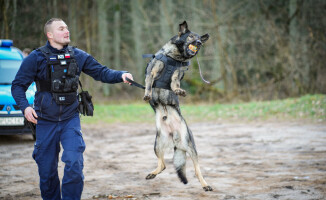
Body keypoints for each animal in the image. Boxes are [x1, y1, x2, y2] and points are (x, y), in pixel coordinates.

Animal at [144, 21, 213, 191]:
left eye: (199, 39)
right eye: (191, 36)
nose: (199, 42)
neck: (176, 57)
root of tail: (174, 137)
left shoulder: (177, 74)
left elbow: (174, 83)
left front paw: (178, 91)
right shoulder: (152, 71)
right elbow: (149, 83)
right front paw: (147, 94)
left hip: (190, 147)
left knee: (197, 170)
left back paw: (205, 185)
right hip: (157, 145)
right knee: (162, 165)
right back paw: (152, 174)